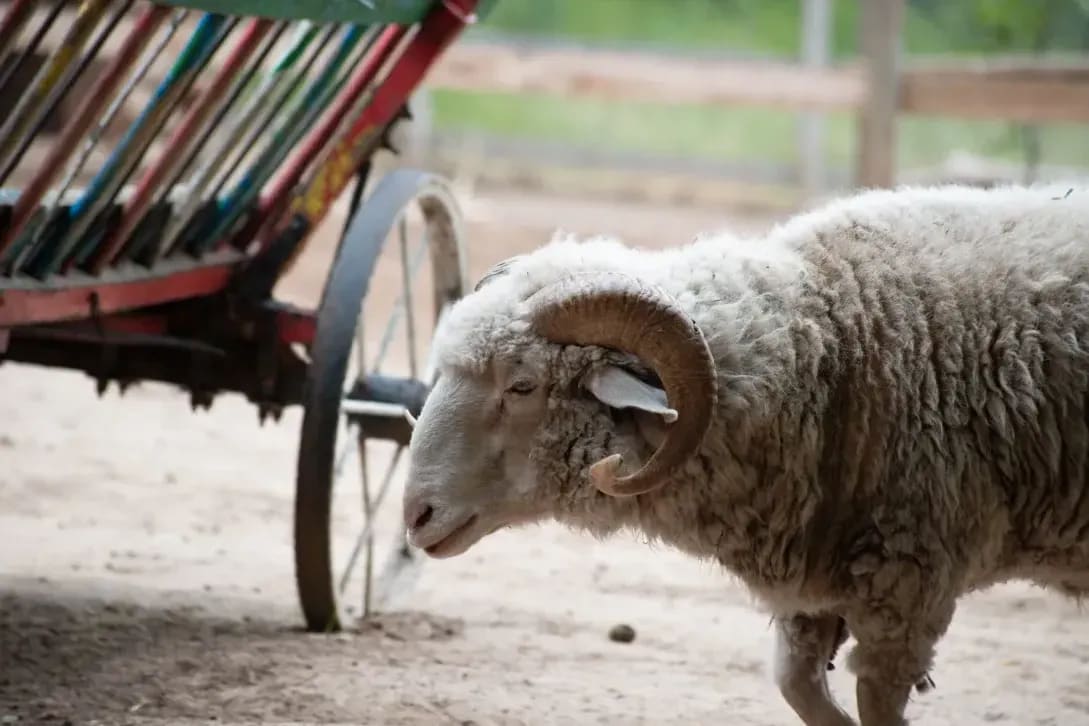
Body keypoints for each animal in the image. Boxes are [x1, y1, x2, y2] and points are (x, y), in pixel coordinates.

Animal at [401, 182, 1089, 726]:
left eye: (522, 386)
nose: (414, 516)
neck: (839, 353)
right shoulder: (817, 591)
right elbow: (799, 691)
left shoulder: (907, 591)